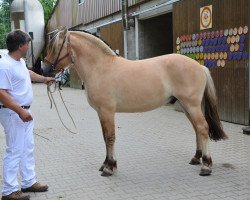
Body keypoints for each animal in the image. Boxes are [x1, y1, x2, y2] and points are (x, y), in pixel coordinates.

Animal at [43, 28, 229, 177]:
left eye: (55, 48)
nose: (44, 70)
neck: (100, 68)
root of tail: (200, 67)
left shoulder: (107, 111)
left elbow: (110, 138)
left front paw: (109, 168)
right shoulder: (101, 113)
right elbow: (105, 137)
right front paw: (106, 164)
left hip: (191, 105)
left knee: (203, 128)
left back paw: (206, 166)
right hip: (186, 106)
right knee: (197, 129)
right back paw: (196, 159)